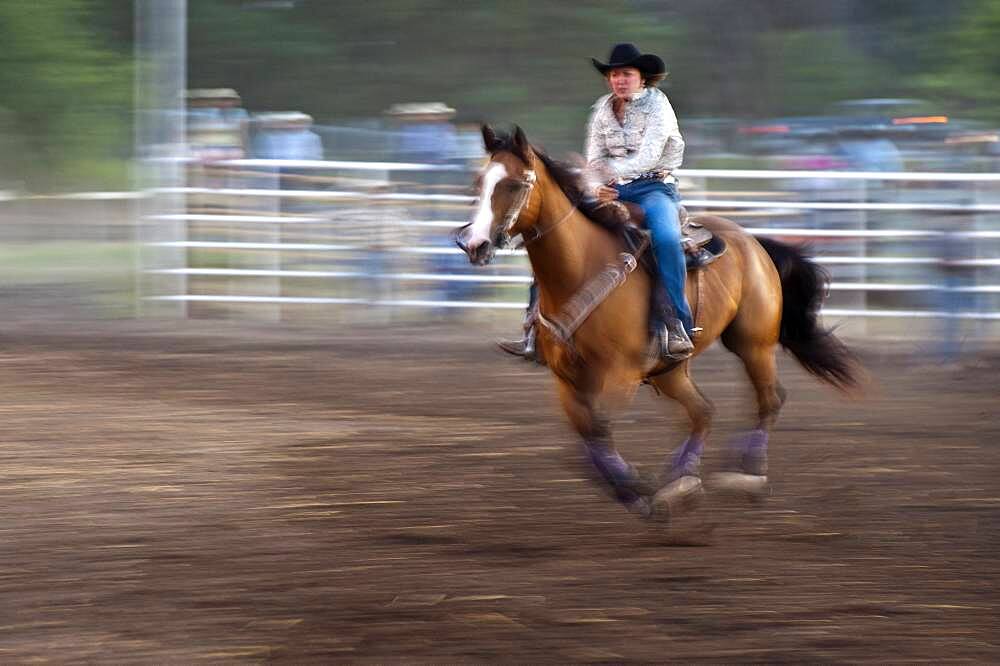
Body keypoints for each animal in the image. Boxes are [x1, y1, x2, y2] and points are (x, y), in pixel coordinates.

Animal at [456, 126, 860, 520]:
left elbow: (599, 428)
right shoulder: (566, 379)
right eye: (479, 182)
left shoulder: (620, 374)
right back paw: (680, 481)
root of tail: (753, 241)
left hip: (752, 343)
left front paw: (638, 490)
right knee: (703, 412)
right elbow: (586, 436)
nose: (473, 244)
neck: (581, 265)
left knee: (769, 399)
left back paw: (745, 477)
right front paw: (639, 491)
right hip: (671, 369)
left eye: (513, 184)